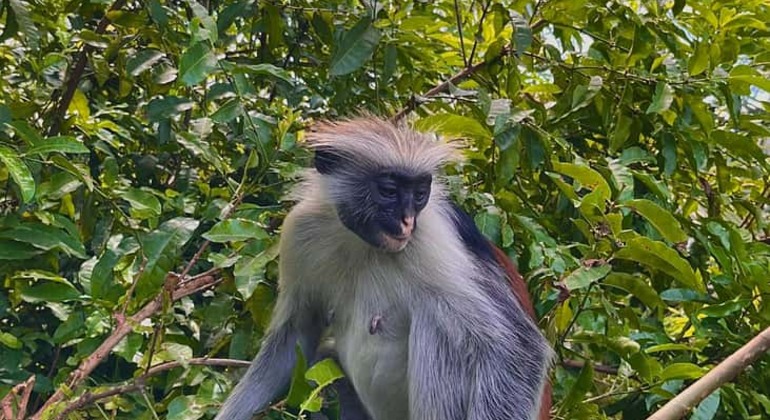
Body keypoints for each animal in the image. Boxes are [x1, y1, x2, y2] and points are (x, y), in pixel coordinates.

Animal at [215, 117, 552, 420]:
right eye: (389, 191)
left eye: (419, 194)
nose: (407, 221)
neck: (361, 242)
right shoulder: (301, 229)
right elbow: (295, 334)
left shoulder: (431, 237)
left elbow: (520, 349)